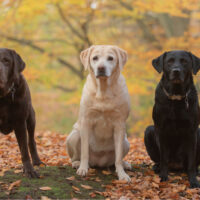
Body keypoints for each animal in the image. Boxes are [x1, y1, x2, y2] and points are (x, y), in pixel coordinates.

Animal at [145, 50, 200, 188]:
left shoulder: (192, 131)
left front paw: (193, 180)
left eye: (184, 61)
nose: (176, 71)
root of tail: (176, 165)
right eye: (169, 61)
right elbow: (164, 157)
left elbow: (191, 161)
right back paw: (157, 167)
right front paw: (163, 176)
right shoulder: (161, 130)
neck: (176, 96)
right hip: (149, 130)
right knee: (160, 160)